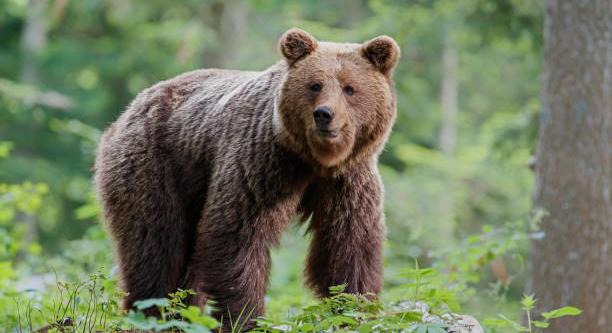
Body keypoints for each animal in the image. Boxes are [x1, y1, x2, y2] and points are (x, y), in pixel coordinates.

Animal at [95, 27, 400, 328]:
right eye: (315, 85)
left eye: (350, 88)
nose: (324, 114)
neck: (314, 160)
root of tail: (130, 108)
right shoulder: (260, 164)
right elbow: (237, 235)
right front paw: (246, 317)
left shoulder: (348, 180)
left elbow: (349, 245)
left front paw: (353, 310)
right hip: (155, 166)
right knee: (155, 246)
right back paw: (151, 314)